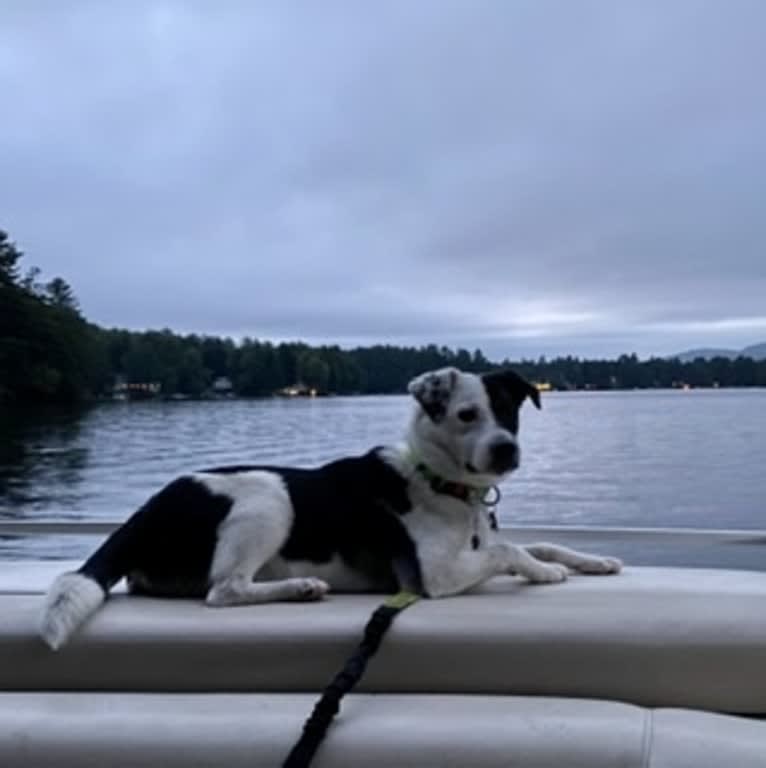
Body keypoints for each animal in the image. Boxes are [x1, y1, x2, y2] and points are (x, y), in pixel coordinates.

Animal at [39, 366, 620, 648]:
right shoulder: (431, 576)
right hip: (268, 497)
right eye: (466, 414)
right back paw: (300, 587)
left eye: (509, 411)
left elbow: (533, 541)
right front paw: (544, 572)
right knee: (223, 591)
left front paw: (594, 561)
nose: (506, 450)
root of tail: (146, 510)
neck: (440, 482)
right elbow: (510, 551)